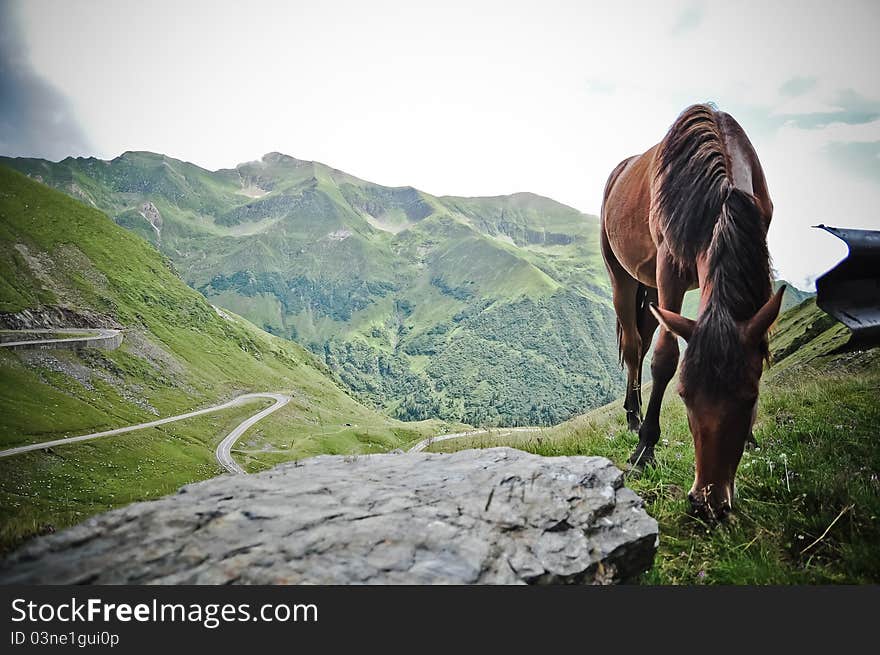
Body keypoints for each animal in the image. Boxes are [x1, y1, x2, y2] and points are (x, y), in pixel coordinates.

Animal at [604, 104, 784, 524]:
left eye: (751, 397)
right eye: (684, 396)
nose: (708, 502)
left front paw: (752, 440)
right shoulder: (669, 268)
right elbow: (665, 358)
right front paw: (644, 450)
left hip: (650, 289)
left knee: (643, 337)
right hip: (623, 277)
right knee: (635, 347)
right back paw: (634, 418)